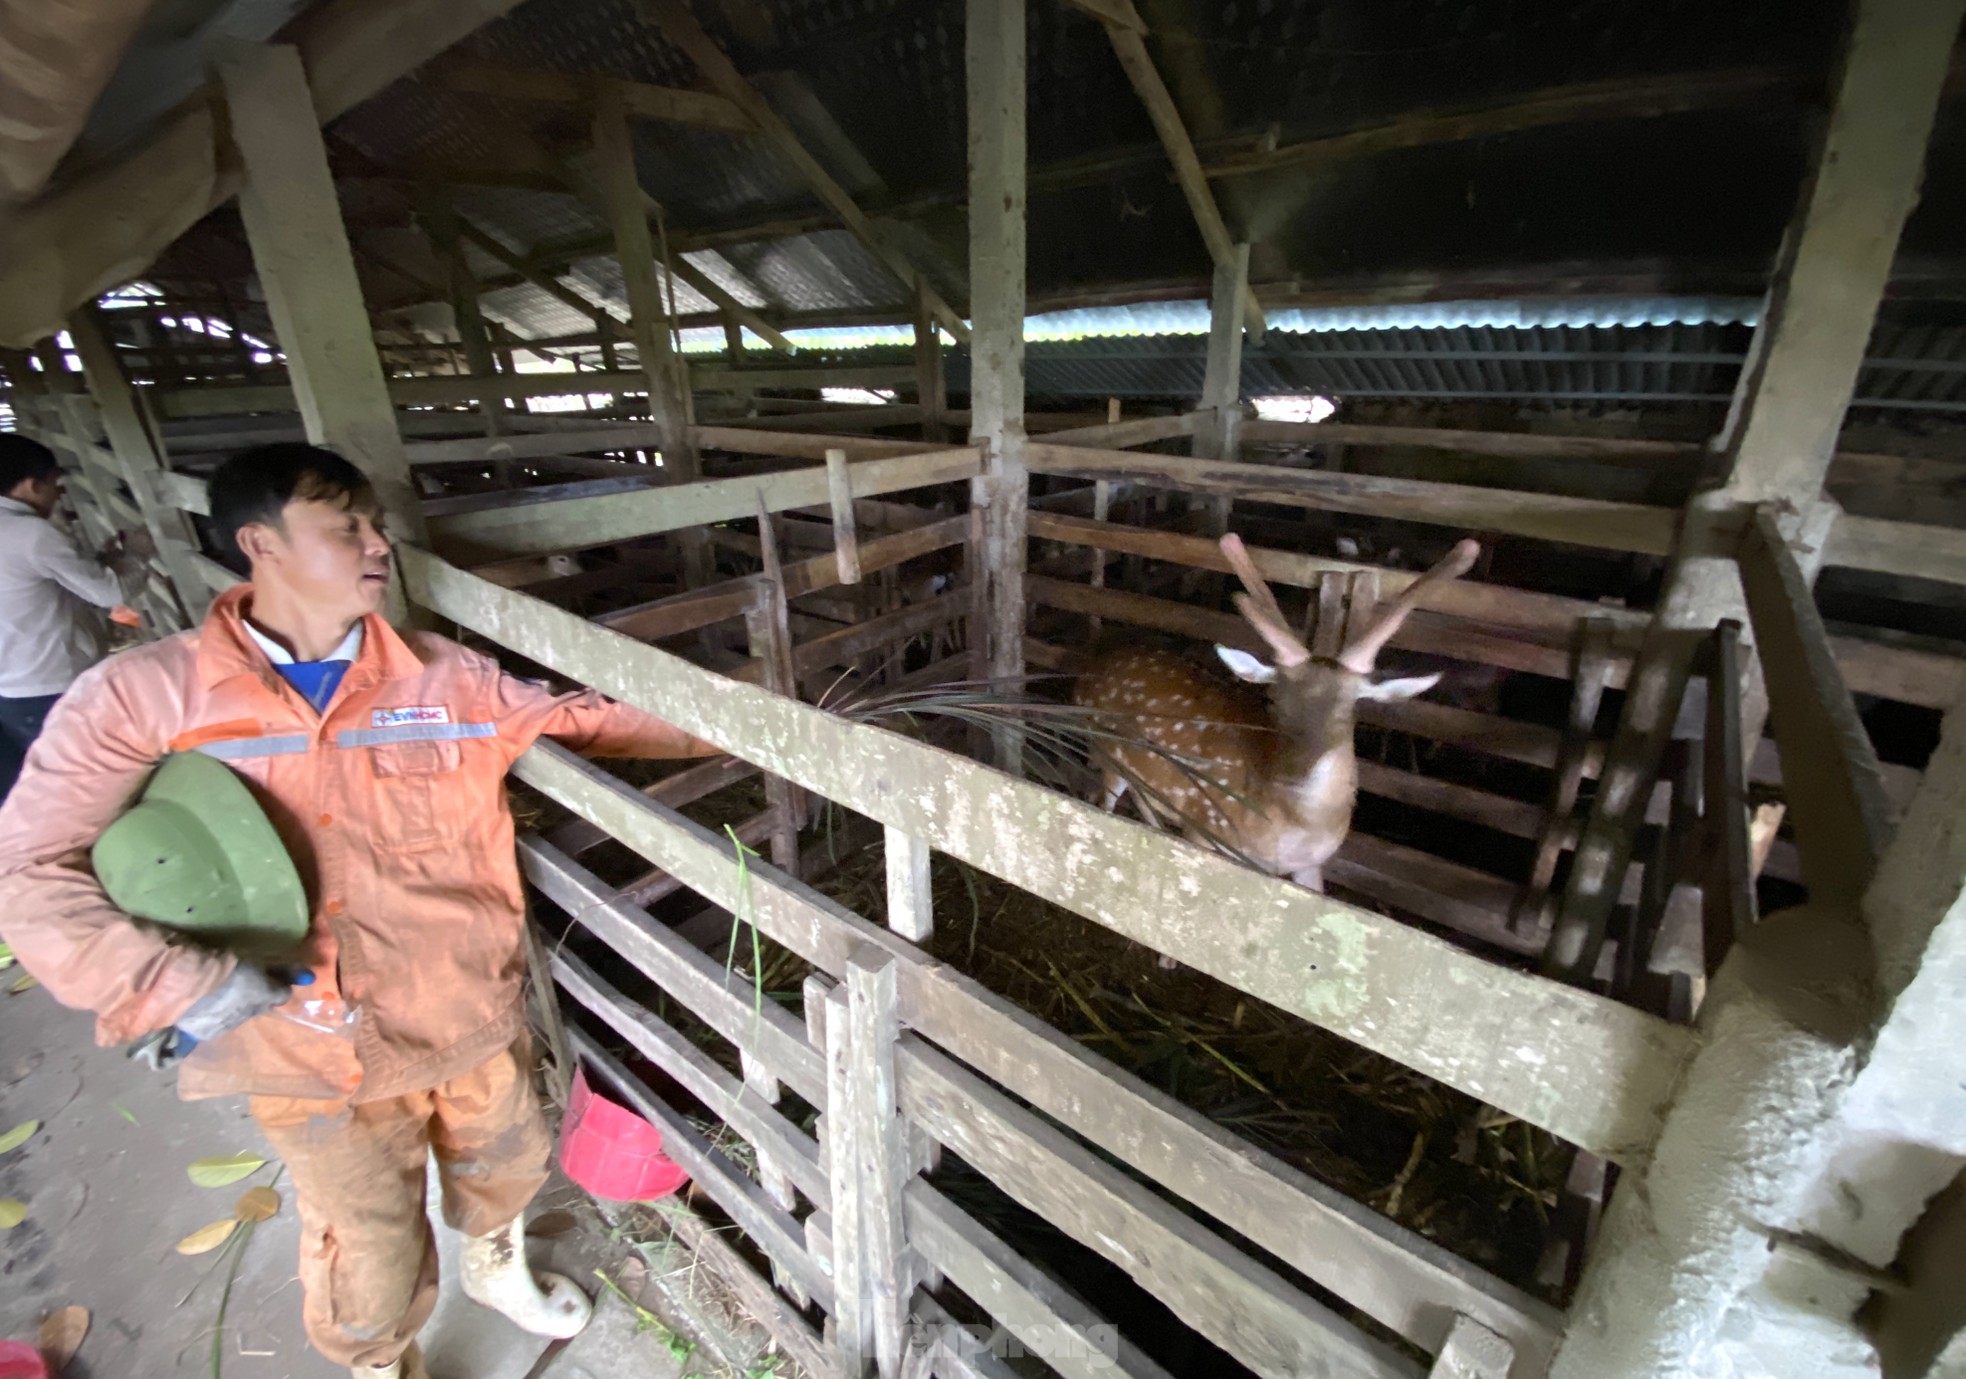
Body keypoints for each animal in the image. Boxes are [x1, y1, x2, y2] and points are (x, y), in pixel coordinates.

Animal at [1077, 527, 1478, 893]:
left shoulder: (1311, 865)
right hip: (1107, 753)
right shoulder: (1205, 828)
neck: (1292, 835)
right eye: (1273, 700)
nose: (1292, 777)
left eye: (1347, 710)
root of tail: (1096, 664)